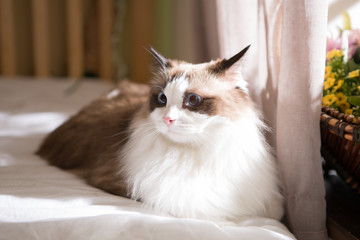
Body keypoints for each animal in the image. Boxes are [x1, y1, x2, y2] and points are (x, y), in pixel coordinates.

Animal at [36, 45, 284, 223]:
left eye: (192, 100)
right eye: (162, 99)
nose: (167, 119)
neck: (192, 153)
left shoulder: (269, 204)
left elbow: (273, 211)